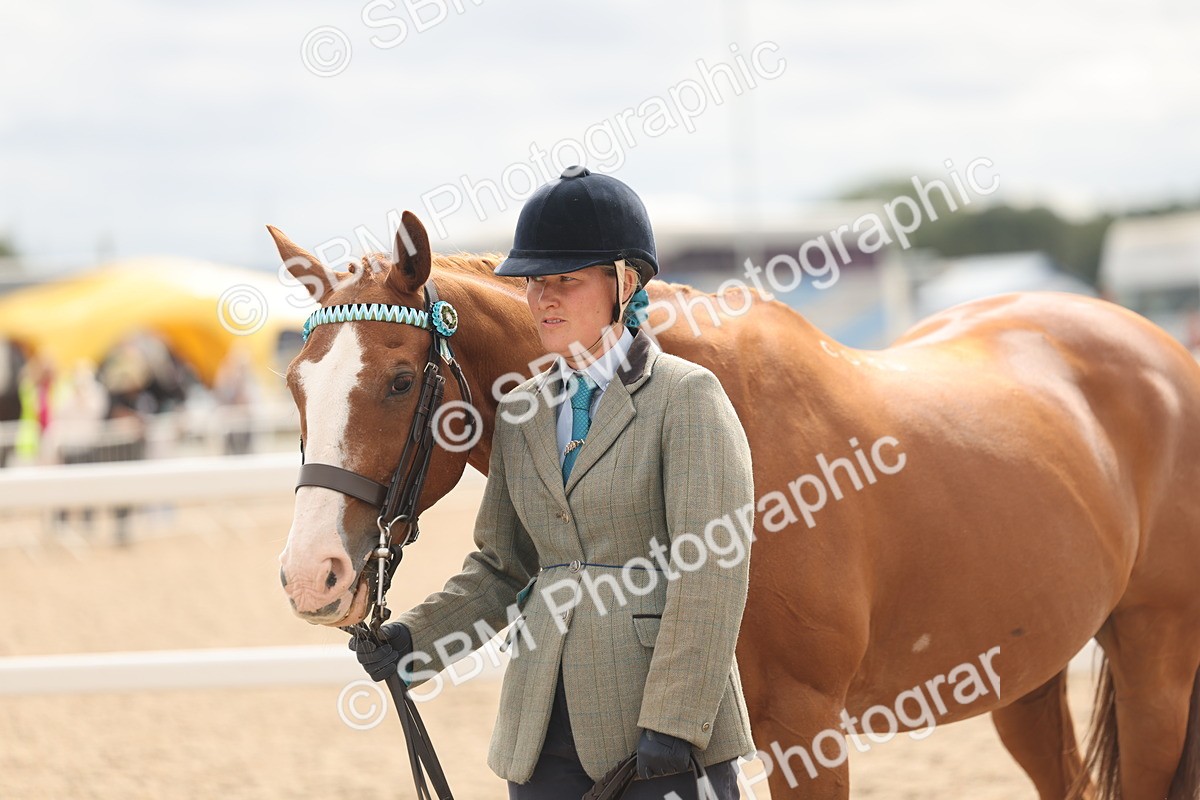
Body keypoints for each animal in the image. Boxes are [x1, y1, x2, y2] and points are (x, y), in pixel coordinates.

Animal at [270, 212, 1200, 800]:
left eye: (399, 380)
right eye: (295, 383)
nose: (312, 577)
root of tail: (1160, 349)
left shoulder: (803, 731)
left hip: (1156, 658)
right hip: (1027, 674)